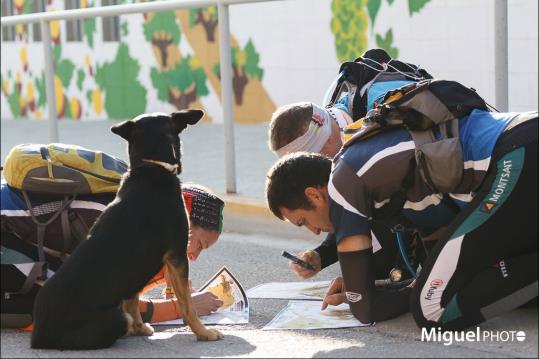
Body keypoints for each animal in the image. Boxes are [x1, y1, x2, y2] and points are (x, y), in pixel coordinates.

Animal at [31, 111, 224, 350]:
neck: (151, 167)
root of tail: (39, 336)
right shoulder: (178, 255)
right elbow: (187, 304)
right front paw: (203, 332)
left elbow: (133, 298)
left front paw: (140, 328)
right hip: (115, 319)